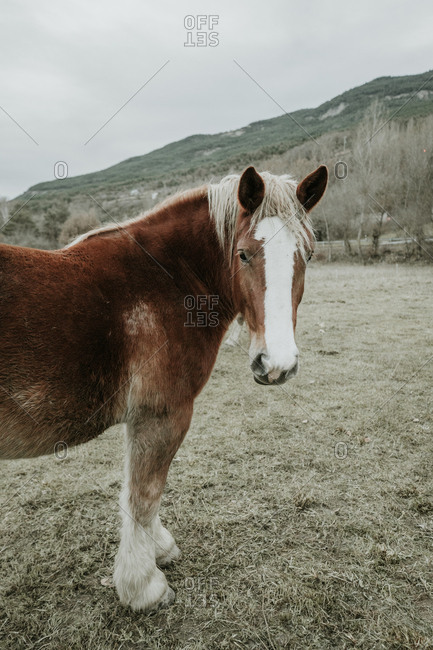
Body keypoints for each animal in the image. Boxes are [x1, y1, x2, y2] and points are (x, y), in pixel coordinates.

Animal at [0, 164, 327, 611]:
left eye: (307, 255)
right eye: (243, 253)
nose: (277, 364)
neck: (165, 280)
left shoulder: (144, 419)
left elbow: (138, 491)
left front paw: (158, 548)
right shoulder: (163, 415)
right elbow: (144, 494)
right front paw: (144, 587)